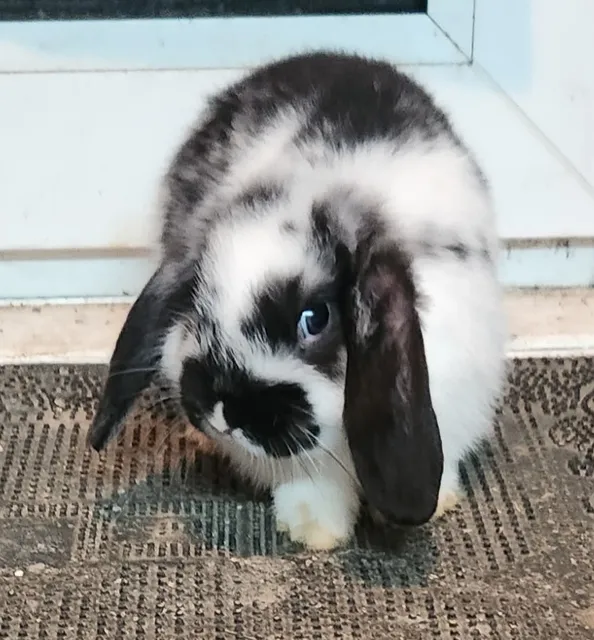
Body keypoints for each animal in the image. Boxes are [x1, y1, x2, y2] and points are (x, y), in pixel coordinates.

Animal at [87, 51, 507, 550]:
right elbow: (312, 486)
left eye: (315, 318)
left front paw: (437, 503)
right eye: (198, 305)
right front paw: (315, 530)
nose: (226, 413)